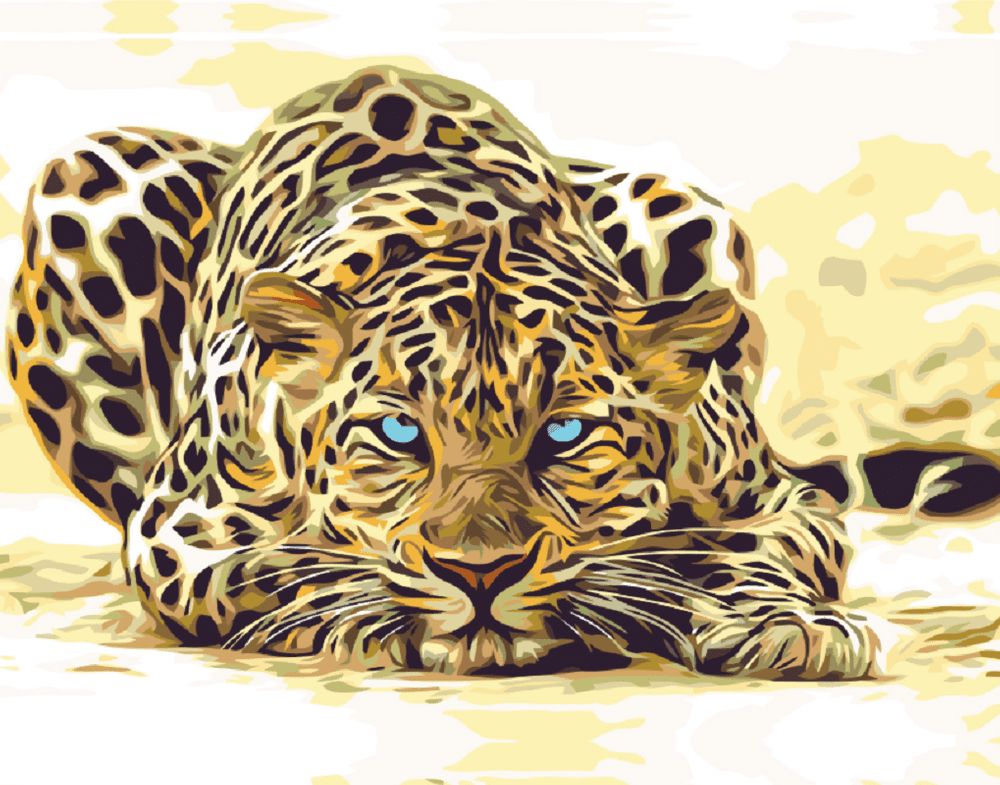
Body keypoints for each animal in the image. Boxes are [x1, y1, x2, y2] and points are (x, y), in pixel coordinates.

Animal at [7, 65, 889, 678]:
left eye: (565, 432)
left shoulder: (781, 500)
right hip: (85, 173)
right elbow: (284, 566)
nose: (481, 572)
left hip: (682, 203)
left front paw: (788, 622)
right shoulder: (178, 527)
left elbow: (725, 547)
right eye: (400, 431)